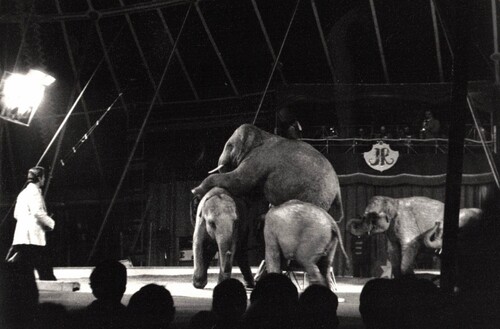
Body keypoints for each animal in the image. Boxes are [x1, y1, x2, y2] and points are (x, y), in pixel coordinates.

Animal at [191, 124, 344, 222]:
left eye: (229, 146)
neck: (262, 133)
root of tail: (337, 190)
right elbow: (252, 192)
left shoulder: (258, 158)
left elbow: (240, 181)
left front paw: (196, 191)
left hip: (314, 195)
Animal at [348, 195, 484, 276]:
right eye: (364, 216)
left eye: (371, 216)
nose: (355, 218)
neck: (393, 201)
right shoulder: (392, 230)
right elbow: (393, 251)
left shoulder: (405, 221)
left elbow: (409, 246)